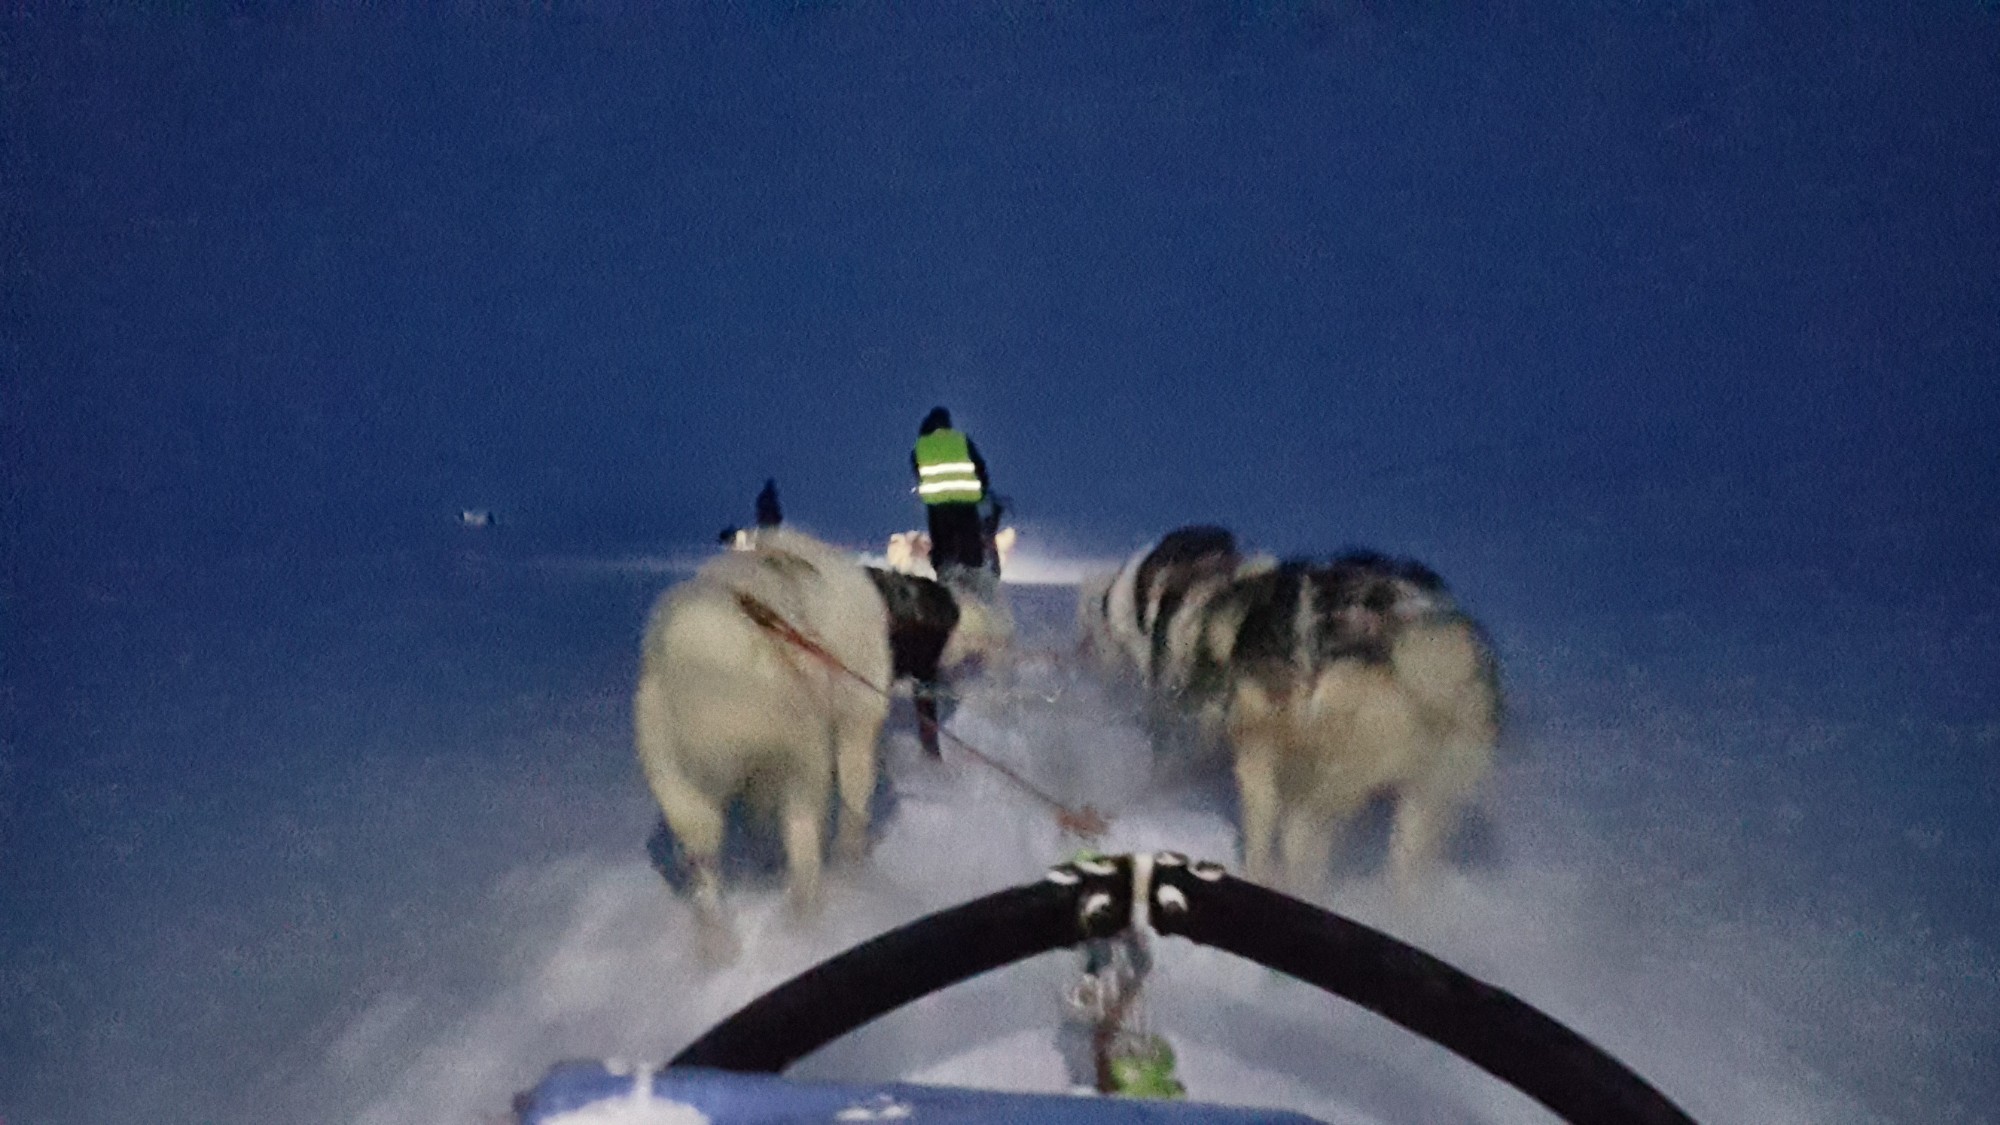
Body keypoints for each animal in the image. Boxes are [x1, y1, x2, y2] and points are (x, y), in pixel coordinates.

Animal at [632, 524, 1000, 952]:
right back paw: (810, 922)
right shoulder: (855, 725)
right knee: (804, 847)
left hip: (682, 787)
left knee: (706, 871)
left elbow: (759, 823)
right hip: (803, 765)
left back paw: (718, 943)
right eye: (945, 623)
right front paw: (851, 861)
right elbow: (855, 803)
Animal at [1080, 528, 1504, 892]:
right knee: (1404, 868)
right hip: (1430, 790)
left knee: (1304, 840)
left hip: (1328, 779)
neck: (1215, 598)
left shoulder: (1258, 753)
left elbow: (1262, 822)